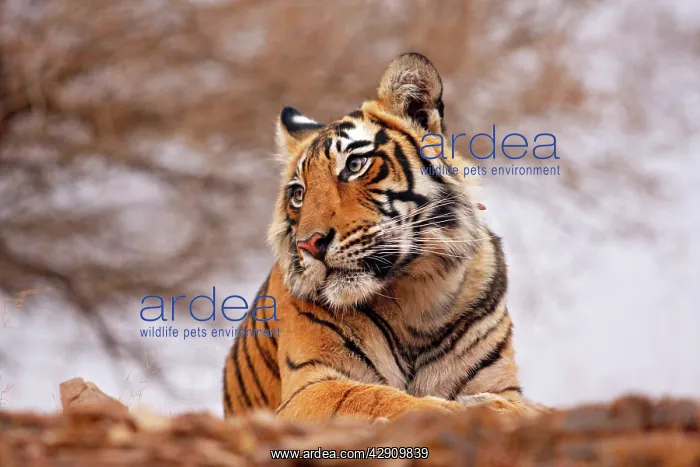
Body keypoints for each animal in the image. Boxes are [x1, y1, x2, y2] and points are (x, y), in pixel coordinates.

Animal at [223, 53, 535, 421]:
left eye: (354, 165)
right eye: (298, 194)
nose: (308, 245)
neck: (418, 294)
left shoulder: (503, 385)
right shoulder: (309, 387)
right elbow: (375, 398)